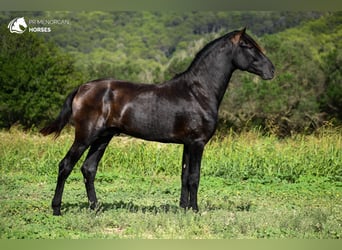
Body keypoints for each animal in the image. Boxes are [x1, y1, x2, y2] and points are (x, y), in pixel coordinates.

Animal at [40, 27, 276, 215]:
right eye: (247, 45)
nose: (271, 70)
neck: (198, 92)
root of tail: (82, 88)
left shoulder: (187, 144)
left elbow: (184, 176)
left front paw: (184, 208)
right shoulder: (197, 143)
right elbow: (194, 177)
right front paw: (195, 210)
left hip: (103, 138)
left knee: (88, 169)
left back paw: (95, 208)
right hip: (85, 136)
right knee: (65, 166)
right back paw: (57, 209)